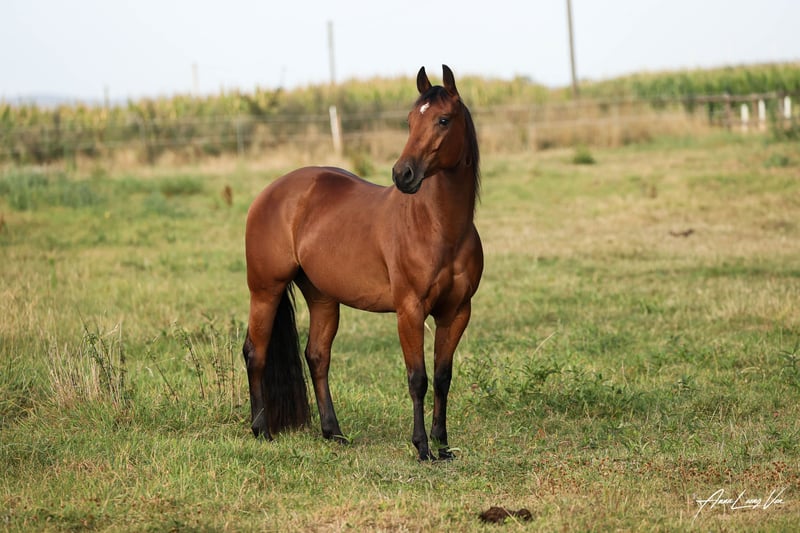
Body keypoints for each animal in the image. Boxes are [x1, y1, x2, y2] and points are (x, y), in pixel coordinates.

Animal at [242, 65, 483, 461]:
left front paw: (443, 444)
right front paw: (422, 447)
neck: (439, 227)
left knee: (317, 356)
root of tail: (271, 192)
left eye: (443, 120)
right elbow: (418, 378)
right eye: (409, 121)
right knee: (255, 353)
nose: (403, 174)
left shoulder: (457, 312)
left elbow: (442, 378)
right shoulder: (410, 310)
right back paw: (261, 429)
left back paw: (333, 432)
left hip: (323, 297)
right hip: (265, 291)